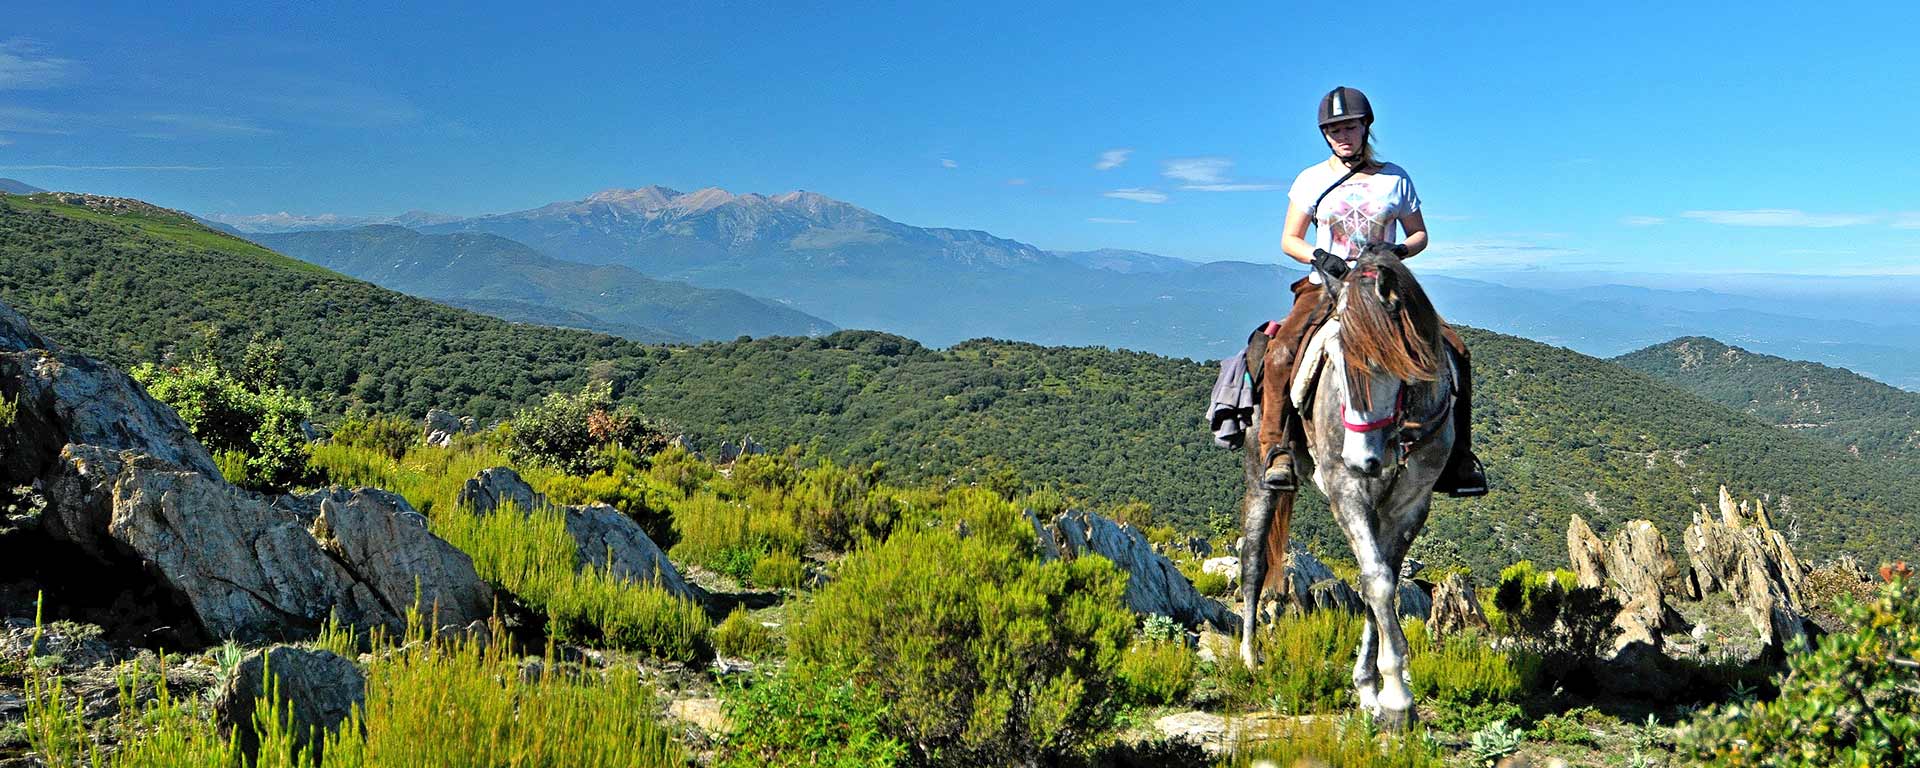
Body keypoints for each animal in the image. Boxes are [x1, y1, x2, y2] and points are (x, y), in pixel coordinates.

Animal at [1244, 245, 1451, 733]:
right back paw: (1249, 656)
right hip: (1259, 471)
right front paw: (1397, 698)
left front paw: (1371, 690)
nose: (1360, 459)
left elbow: (1383, 580)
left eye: (1389, 362)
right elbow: (1376, 580)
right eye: (1334, 362)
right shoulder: (1346, 493)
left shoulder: (1410, 506)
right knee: (1254, 560)